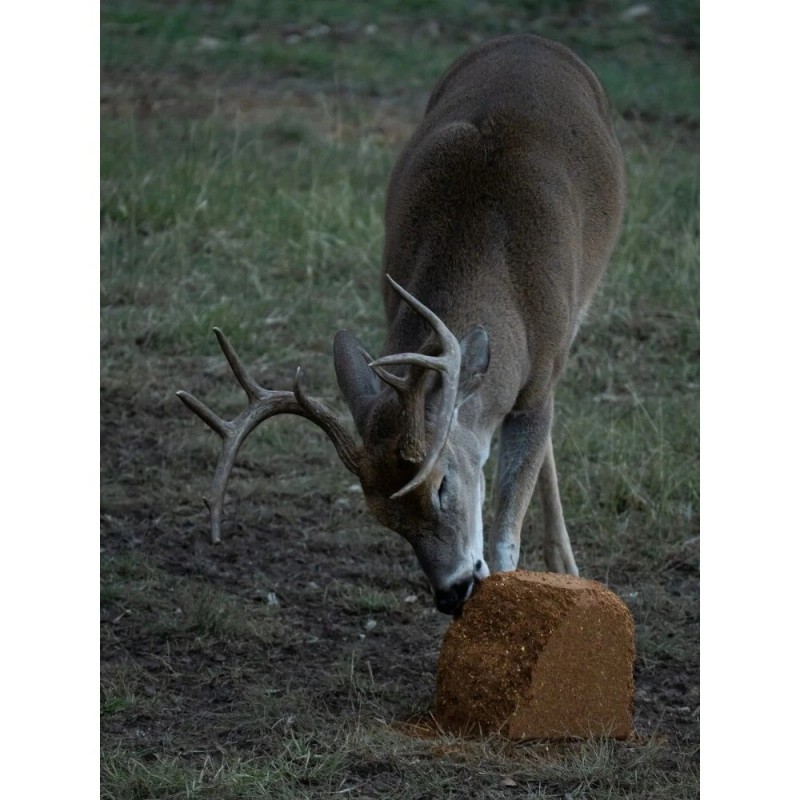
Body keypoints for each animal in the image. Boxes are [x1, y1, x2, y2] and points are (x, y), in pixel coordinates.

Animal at [177, 34, 625, 615]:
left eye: (441, 484)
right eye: (383, 516)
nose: (453, 593)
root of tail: (529, 39)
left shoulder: (541, 376)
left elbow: (506, 534)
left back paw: (565, 566)